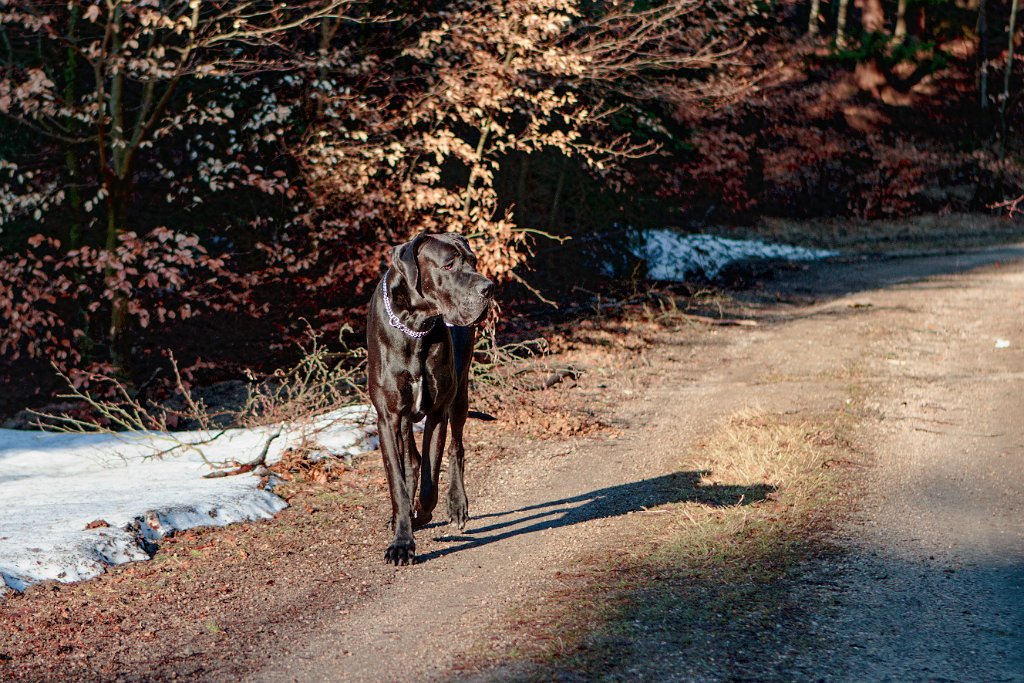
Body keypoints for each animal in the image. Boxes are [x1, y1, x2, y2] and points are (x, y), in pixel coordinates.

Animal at [366, 232, 493, 565]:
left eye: (473, 261)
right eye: (448, 265)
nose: (488, 288)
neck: (415, 326)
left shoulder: (437, 413)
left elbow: (430, 484)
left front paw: (421, 515)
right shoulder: (388, 418)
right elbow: (398, 482)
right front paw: (401, 541)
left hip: (459, 396)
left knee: (456, 449)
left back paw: (457, 505)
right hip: (406, 418)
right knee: (411, 461)